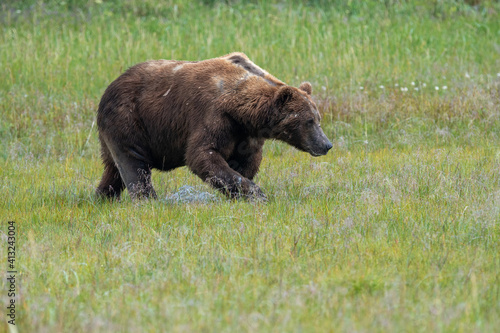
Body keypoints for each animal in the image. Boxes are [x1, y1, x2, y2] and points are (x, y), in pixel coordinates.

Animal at [96, 52, 334, 200]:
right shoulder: (213, 117)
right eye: (309, 121)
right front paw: (257, 194)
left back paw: (102, 197)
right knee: (133, 164)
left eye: (318, 118)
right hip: (129, 120)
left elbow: (247, 162)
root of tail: (109, 87)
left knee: (113, 170)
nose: (326, 144)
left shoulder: (245, 135)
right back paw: (148, 199)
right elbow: (202, 155)